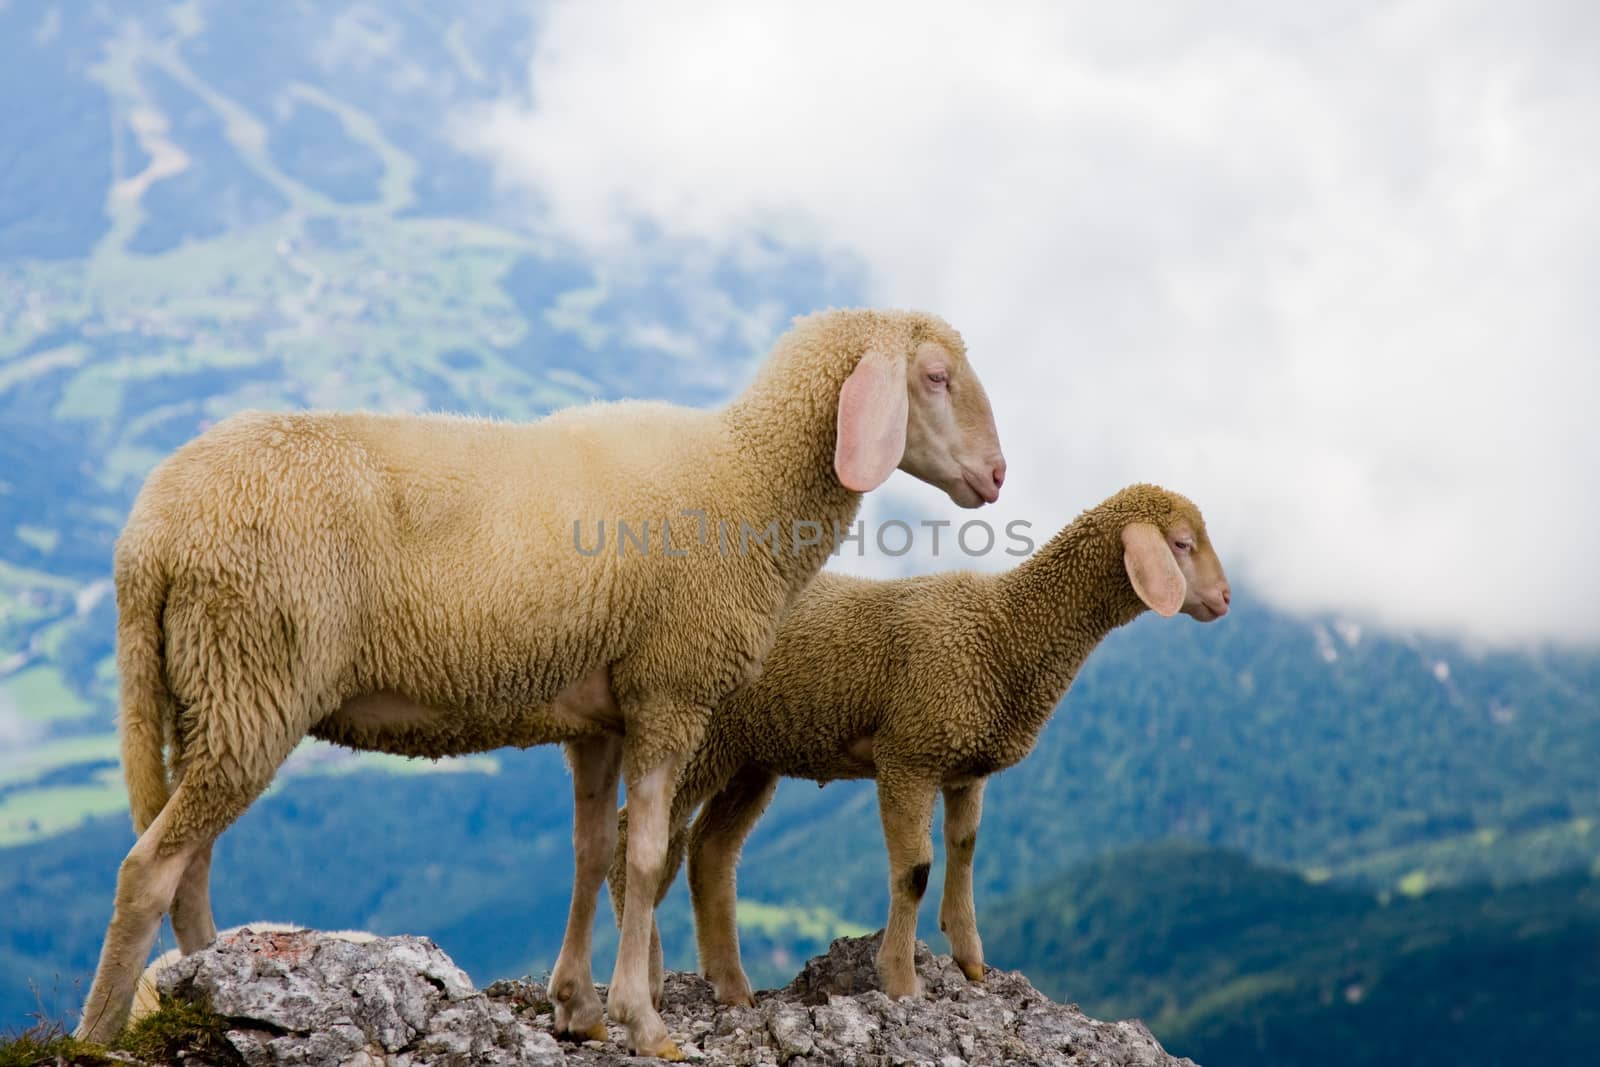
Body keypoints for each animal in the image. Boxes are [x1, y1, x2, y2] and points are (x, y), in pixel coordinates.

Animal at [78, 308, 998, 1062]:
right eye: (935, 376)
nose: (995, 476)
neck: (747, 474)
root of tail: (148, 535)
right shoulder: (668, 692)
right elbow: (645, 854)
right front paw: (644, 1021)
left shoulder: (598, 716)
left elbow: (591, 853)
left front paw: (578, 1008)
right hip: (251, 672)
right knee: (148, 867)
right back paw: (103, 1030)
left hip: (204, 688)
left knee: (187, 860)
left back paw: (208, 982)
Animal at [608, 483, 1222, 1011]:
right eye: (1181, 544)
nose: (1224, 599)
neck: (1005, 631)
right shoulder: (908, 756)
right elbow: (916, 871)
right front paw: (901, 981)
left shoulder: (965, 767)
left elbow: (965, 849)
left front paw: (971, 961)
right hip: (695, 739)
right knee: (634, 837)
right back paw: (649, 981)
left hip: (749, 754)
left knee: (710, 852)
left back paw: (732, 987)